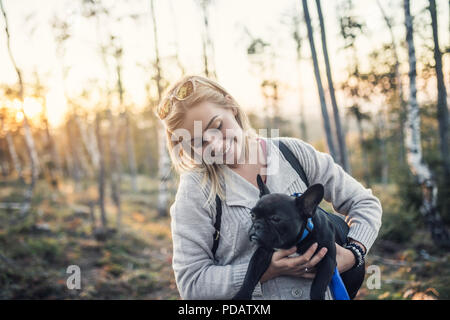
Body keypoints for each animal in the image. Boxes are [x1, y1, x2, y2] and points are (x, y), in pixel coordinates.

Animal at [232, 174, 366, 302]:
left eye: (275, 219)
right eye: (252, 215)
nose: (257, 225)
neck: (296, 241)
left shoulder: (327, 260)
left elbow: (318, 286)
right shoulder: (262, 253)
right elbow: (250, 275)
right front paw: (241, 295)